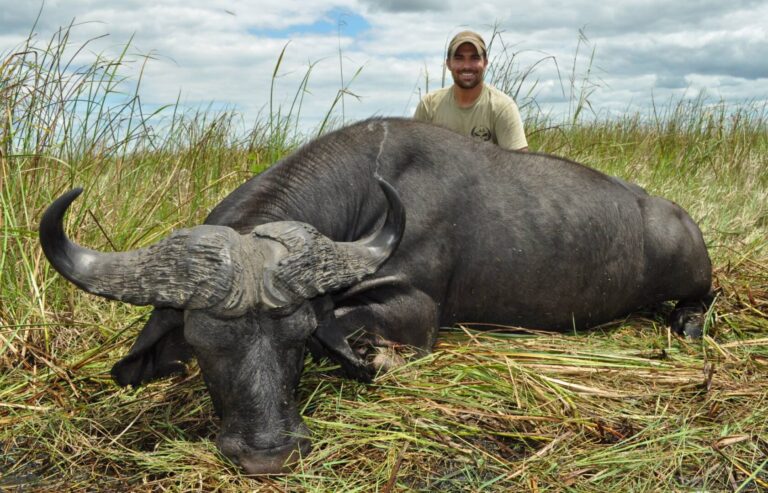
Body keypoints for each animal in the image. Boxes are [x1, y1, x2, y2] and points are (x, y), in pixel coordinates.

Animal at [39, 117, 713, 474]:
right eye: (203, 345)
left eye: (296, 339)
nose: (268, 455)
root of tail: (670, 212)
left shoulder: (415, 310)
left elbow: (350, 325)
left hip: (694, 279)